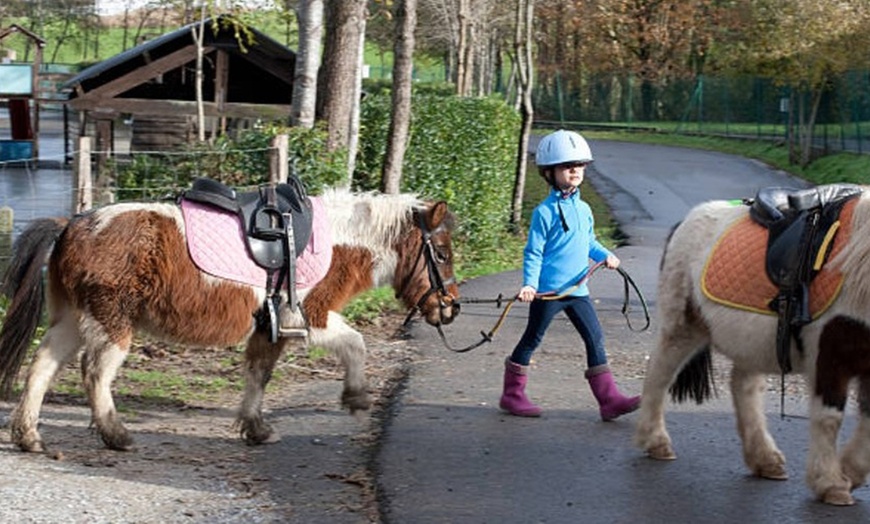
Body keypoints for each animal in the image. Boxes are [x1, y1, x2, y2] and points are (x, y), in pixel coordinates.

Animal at [0, 187, 464, 450]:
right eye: (441, 254)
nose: (451, 307)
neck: (335, 241)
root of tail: (73, 224)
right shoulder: (310, 317)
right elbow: (356, 344)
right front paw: (356, 397)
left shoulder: (269, 327)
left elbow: (258, 374)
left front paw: (255, 428)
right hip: (112, 323)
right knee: (95, 372)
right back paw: (116, 436)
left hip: (72, 320)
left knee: (42, 366)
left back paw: (28, 436)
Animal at [632, 190, 870, 506]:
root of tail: (687, 220)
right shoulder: (829, 356)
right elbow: (829, 417)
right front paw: (831, 482)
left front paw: (849, 472)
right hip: (683, 327)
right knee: (659, 373)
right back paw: (656, 441)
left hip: (751, 342)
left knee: (743, 387)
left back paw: (765, 459)